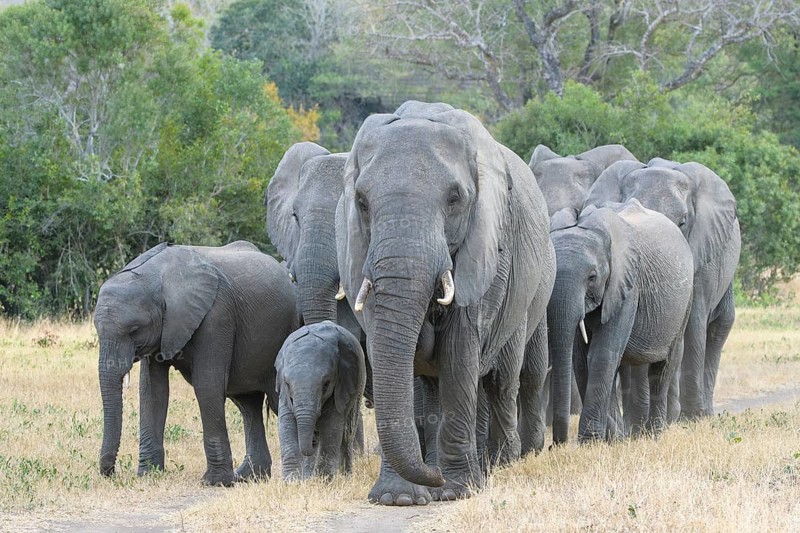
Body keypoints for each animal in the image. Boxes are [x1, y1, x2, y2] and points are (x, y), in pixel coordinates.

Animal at [95, 241, 297, 486]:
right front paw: (148, 475)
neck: (157, 278)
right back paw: (248, 477)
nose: (111, 473)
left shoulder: (217, 316)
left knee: (278, 401)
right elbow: (153, 391)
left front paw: (215, 482)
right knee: (248, 405)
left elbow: (207, 385)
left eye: (134, 330)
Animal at [276, 321, 366, 480]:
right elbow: (286, 423)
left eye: (326, 384)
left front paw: (323, 481)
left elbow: (331, 426)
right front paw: (292, 482)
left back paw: (345, 476)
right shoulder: (284, 394)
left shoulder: (341, 384)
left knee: (346, 434)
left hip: (357, 388)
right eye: (287, 384)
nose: (311, 442)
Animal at [336, 101, 556, 504]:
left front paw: (456, 491)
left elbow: (458, 352)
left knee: (502, 380)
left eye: (454, 200)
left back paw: (499, 464)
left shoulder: (485, 250)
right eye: (361, 202)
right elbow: (391, 353)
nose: (434, 480)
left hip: (527, 293)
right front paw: (399, 498)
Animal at [548, 200, 694, 442]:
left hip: (685, 299)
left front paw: (591, 442)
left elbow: (602, 355)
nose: (554, 446)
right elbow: (581, 360)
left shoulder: (627, 285)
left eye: (592, 277)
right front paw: (612, 440)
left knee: (663, 367)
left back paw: (655, 435)